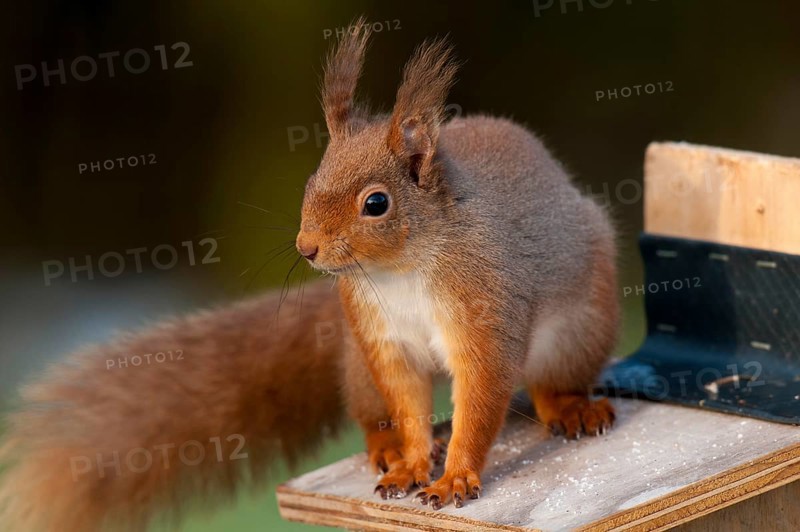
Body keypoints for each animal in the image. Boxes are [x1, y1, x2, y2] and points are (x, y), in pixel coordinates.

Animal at [0, 19, 619, 531]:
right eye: (311, 180)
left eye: (376, 204)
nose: (307, 247)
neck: (399, 269)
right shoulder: (382, 338)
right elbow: (408, 403)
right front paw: (414, 464)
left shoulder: (486, 312)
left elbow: (482, 396)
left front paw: (455, 479)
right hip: (357, 362)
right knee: (377, 414)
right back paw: (390, 449)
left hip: (579, 329)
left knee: (547, 386)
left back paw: (571, 408)